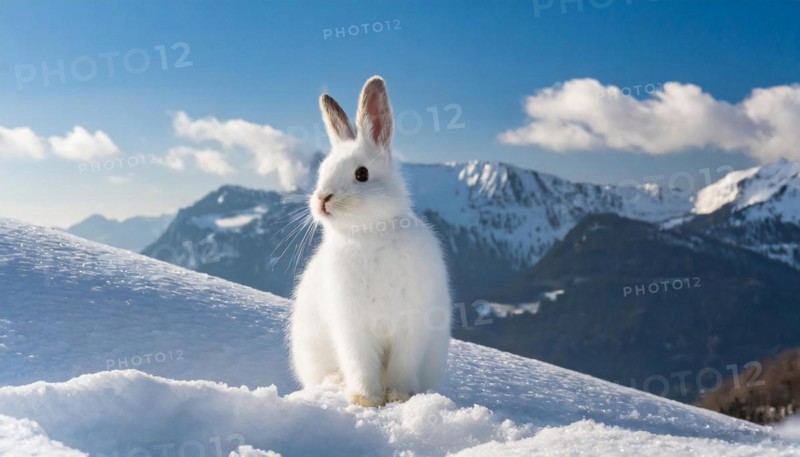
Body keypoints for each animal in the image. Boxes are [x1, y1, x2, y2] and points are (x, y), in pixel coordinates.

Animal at [289, 76, 452, 407]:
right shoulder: (352, 329)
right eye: (322, 172)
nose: (322, 199)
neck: (368, 234)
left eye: (362, 174)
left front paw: (399, 397)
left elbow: (403, 365)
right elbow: (361, 365)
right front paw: (366, 400)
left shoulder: (410, 326)